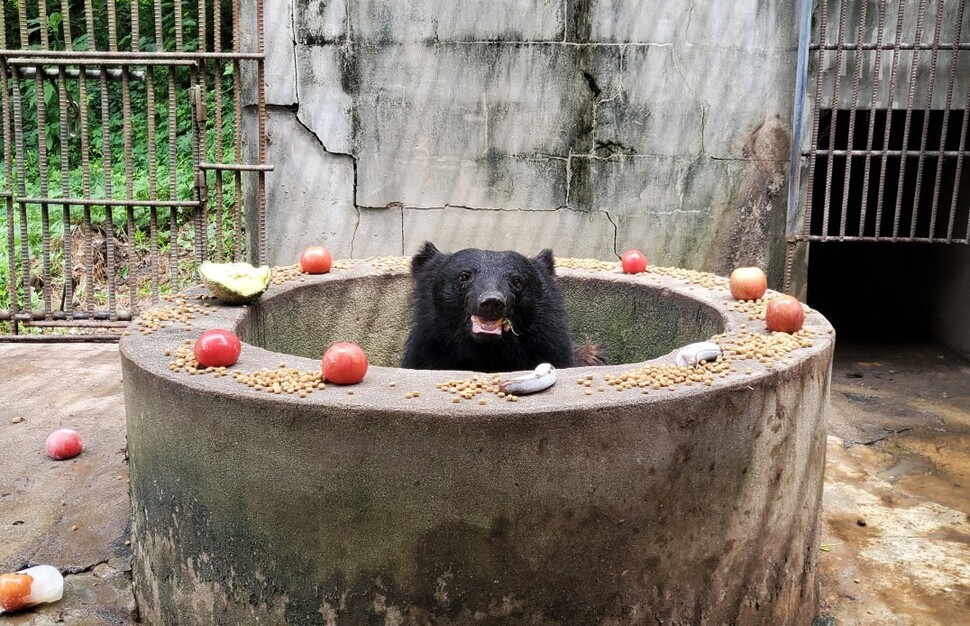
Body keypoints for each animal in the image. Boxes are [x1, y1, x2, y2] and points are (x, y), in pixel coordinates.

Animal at [396, 241, 592, 370]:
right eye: (465, 276)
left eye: (516, 280)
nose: (492, 302)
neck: (486, 351)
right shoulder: (430, 348)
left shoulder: (546, 345)